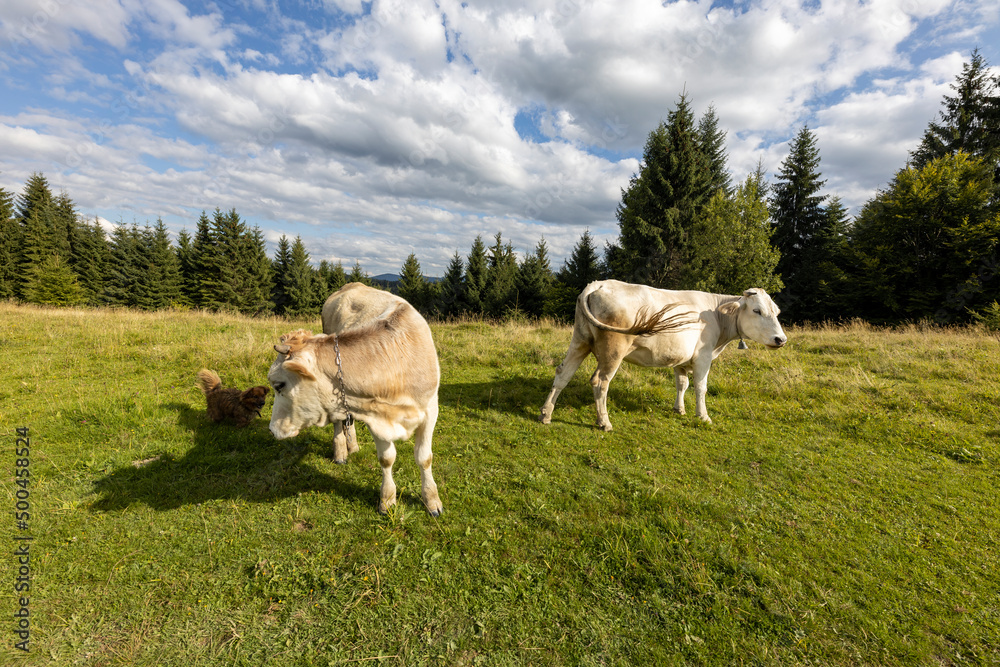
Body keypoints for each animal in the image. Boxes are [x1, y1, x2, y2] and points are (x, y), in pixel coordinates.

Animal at [274, 288, 446, 516]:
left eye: (279, 385)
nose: (272, 428)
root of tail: (352, 286)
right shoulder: (374, 416)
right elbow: (386, 458)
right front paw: (387, 499)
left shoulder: (430, 410)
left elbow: (424, 457)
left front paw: (432, 500)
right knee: (339, 422)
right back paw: (341, 451)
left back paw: (353, 445)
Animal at [544, 280, 784, 430]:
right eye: (757, 310)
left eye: (777, 312)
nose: (780, 339)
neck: (717, 317)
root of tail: (599, 283)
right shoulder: (703, 356)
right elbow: (700, 387)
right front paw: (703, 416)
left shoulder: (681, 359)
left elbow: (682, 384)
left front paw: (680, 409)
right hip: (613, 350)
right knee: (600, 381)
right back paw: (604, 422)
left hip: (580, 340)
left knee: (563, 373)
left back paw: (546, 414)